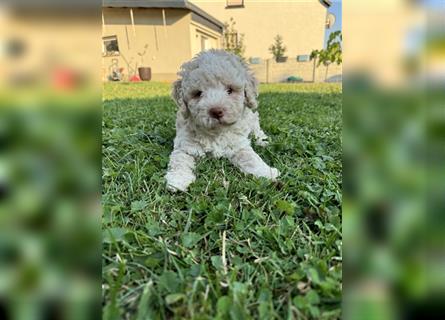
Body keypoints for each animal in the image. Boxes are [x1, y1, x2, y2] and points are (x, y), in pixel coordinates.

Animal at [165, 48, 280, 191]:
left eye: (230, 90)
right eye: (198, 93)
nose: (216, 111)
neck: (216, 132)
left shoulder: (239, 145)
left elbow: (250, 158)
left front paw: (267, 172)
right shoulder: (185, 146)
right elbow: (179, 161)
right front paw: (177, 180)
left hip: (253, 119)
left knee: (257, 131)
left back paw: (263, 141)